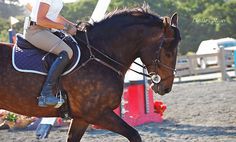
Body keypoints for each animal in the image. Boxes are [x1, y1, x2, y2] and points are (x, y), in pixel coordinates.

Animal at [0, 6, 181, 142]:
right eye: (168, 52)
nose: (166, 88)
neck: (101, 54)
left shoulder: (82, 118)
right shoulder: (97, 113)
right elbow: (134, 135)